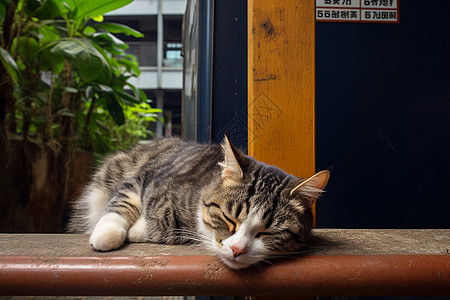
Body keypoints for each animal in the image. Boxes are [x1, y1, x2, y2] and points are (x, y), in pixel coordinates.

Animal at [69, 136, 330, 270]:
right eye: (229, 219)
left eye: (268, 232)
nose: (237, 250)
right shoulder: (144, 179)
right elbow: (122, 204)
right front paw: (107, 233)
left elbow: (165, 226)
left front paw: (139, 229)